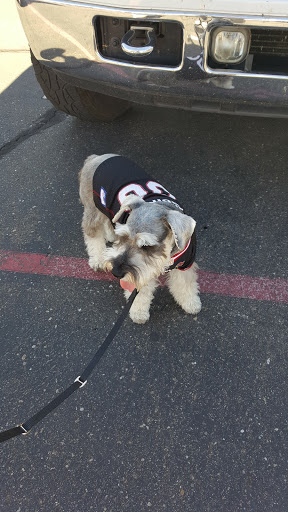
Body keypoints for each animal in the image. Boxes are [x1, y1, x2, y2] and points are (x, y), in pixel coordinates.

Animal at [77, 154, 201, 324]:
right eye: (124, 237)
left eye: (147, 246)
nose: (116, 272)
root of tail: (96, 158)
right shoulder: (139, 273)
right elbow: (139, 293)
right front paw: (138, 312)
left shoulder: (184, 265)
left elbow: (185, 284)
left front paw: (190, 302)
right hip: (93, 210)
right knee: (92, 234)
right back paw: (97, 259)